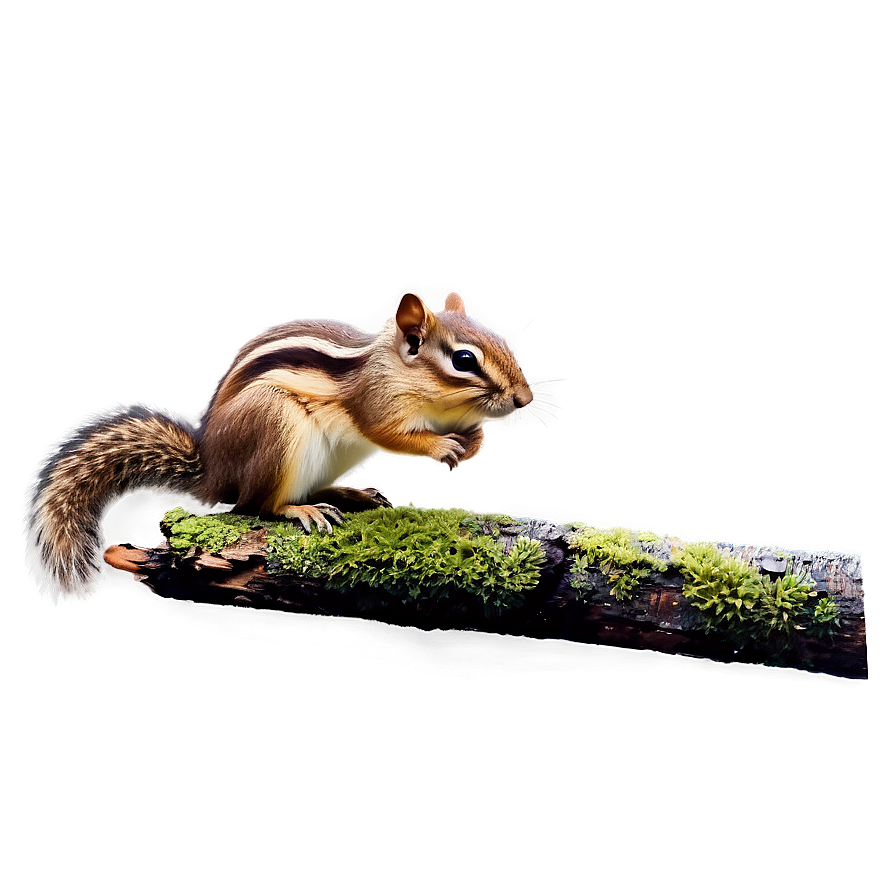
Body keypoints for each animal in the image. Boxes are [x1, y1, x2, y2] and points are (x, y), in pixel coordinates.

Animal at [26, 290, 534, 604]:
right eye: (463, 360)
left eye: (502, 342)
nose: (524, 400)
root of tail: (213, 471)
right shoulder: (373, 401)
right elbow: (386, 433)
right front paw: (441, 446)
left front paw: (474, 441)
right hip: (274, 424)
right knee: (256, 505)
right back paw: (299, 510)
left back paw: (346, 494)